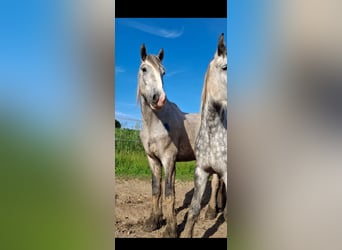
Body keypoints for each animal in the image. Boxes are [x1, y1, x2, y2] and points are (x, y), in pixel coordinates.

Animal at [136, 44, 224, 237]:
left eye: (163, 72)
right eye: (144, 69)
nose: (159, 98)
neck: (155, 122)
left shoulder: (168, 159)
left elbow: (169, 192)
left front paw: (170, 229)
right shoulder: (153, 159)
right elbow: (156, 188)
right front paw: (153, 222)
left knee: (215, 183)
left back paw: (211, 212)